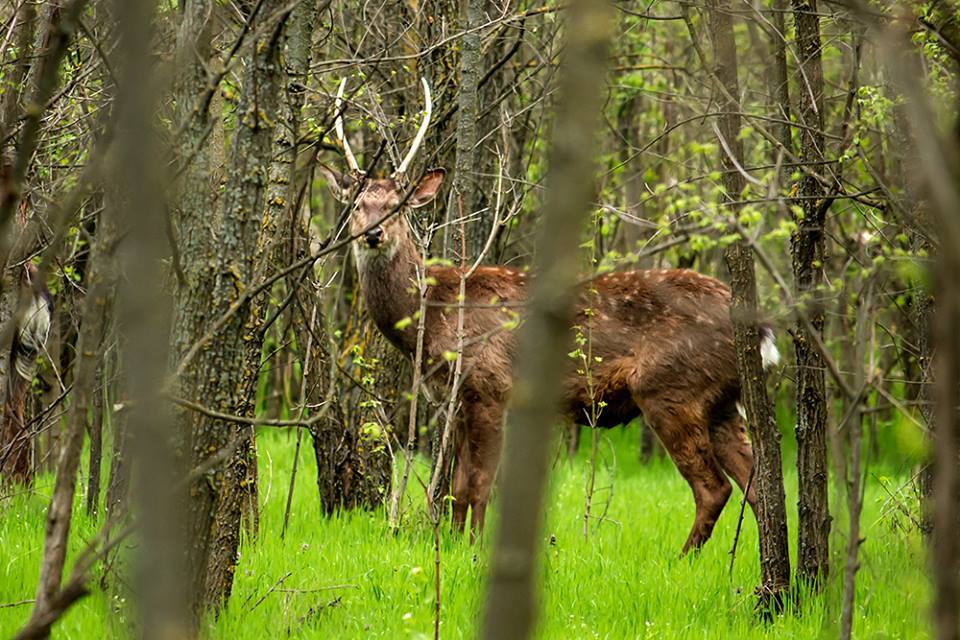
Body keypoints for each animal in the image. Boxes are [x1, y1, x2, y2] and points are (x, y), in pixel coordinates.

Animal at [320, 77, 780, 552]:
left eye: (398, 206)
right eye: (357, 205)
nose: (373, 233)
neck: (434, 319)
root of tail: (760, 326)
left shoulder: (490, 386)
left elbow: (477, 484)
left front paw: (473, 550)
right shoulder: (459, 399)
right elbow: (458, 488)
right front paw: (455, 544)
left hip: (671, 387)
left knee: (714, 486)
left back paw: (682, 558)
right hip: (722, 400)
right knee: (759, 487)